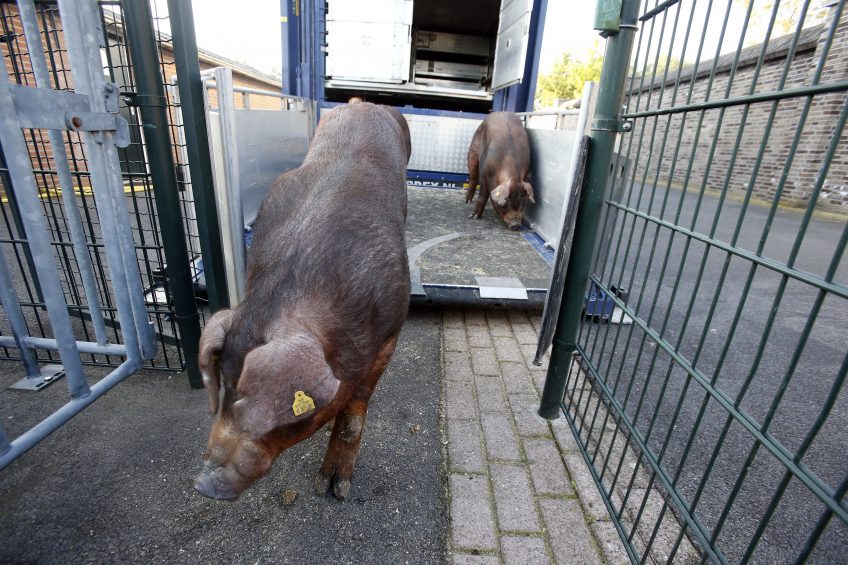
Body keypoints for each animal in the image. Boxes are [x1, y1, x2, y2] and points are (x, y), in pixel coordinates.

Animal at [196, 100, 414, 498]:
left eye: (247, 398)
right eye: (226, 387)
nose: (204, 485)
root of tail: (366, 103)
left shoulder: (390, 335)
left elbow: (354, 415)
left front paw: (332, 489)